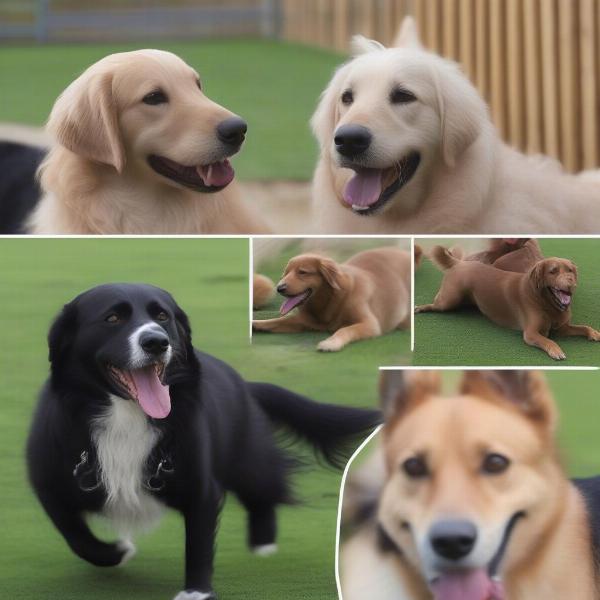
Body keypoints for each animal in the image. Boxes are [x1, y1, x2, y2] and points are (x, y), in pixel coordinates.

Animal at [251, 246, 410, 352]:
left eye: (302, 272)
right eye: (286, 272)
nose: (279, 288)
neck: (331, 300)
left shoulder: (370, 324)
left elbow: (344, 330)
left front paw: (330, 343)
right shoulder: (303, 321)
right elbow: (275, 321)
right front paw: (255, 324)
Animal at [414, 245, 596, 358]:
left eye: (570, 270)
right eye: (553, 271)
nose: (571, 283)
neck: (547, 303)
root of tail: (460, 262)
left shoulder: (562, 328)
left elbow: (584, 327)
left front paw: (595, 333)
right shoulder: (530, 333)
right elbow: (548, 340)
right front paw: (556, 350)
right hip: (450, 299)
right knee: (435, 304)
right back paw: (420, 308)